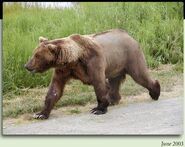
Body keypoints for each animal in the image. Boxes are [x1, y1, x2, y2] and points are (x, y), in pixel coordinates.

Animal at [24, 29, 160, 119]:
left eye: (37, 56)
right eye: (34, 53)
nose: (26, 66)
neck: (74, 59)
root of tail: (129, 35)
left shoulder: (93, 61)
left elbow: (99, 84)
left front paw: (98, 109)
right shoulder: (64, 70)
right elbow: (55, 89)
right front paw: (40, 114)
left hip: (130, 56)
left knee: (140, 75)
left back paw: (155, 92)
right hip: (115, 64)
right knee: (114, 81)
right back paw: (114, 99)